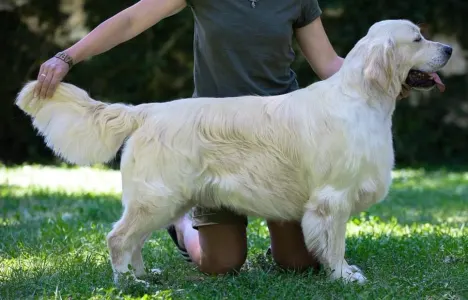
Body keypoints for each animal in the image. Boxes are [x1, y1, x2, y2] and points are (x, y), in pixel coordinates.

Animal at [16, 19, 452, 284]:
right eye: (418, 38)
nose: (448, 48)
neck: (363, 97)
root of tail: (146, 111)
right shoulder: (333, 198)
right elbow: (335, 242)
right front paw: (343, 276)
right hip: (157, 196)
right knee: (118, 237)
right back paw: (126, 282)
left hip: (165, 199)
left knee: (135, 239)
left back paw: (143, 277)